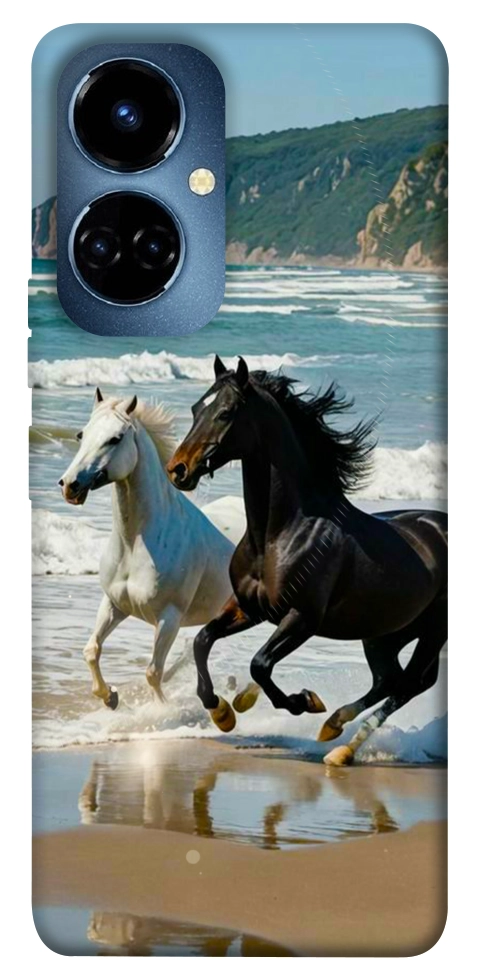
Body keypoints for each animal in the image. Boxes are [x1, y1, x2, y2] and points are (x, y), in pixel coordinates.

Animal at [59, 388, 234, 709]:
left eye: (115, 438)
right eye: (81, 434)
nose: (69, 485)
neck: (135, 544)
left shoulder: (169, 618)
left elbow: (153, 672)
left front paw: (161, 711)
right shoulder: (114, 604)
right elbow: (91, 650)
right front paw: (110, 697)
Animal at [166, 356, 447, 765]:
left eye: (226, 412)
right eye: (195, 409)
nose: (178, 469)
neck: (279, 534)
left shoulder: (302, 618)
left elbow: (260, 664)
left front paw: (303, 702)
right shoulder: (249, 608)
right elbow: (203, 641)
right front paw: (222, 712)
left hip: (431, 632)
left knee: (409, 684)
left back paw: (340, 746)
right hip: (384, 633)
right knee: (389, 679)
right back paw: (333, 729)